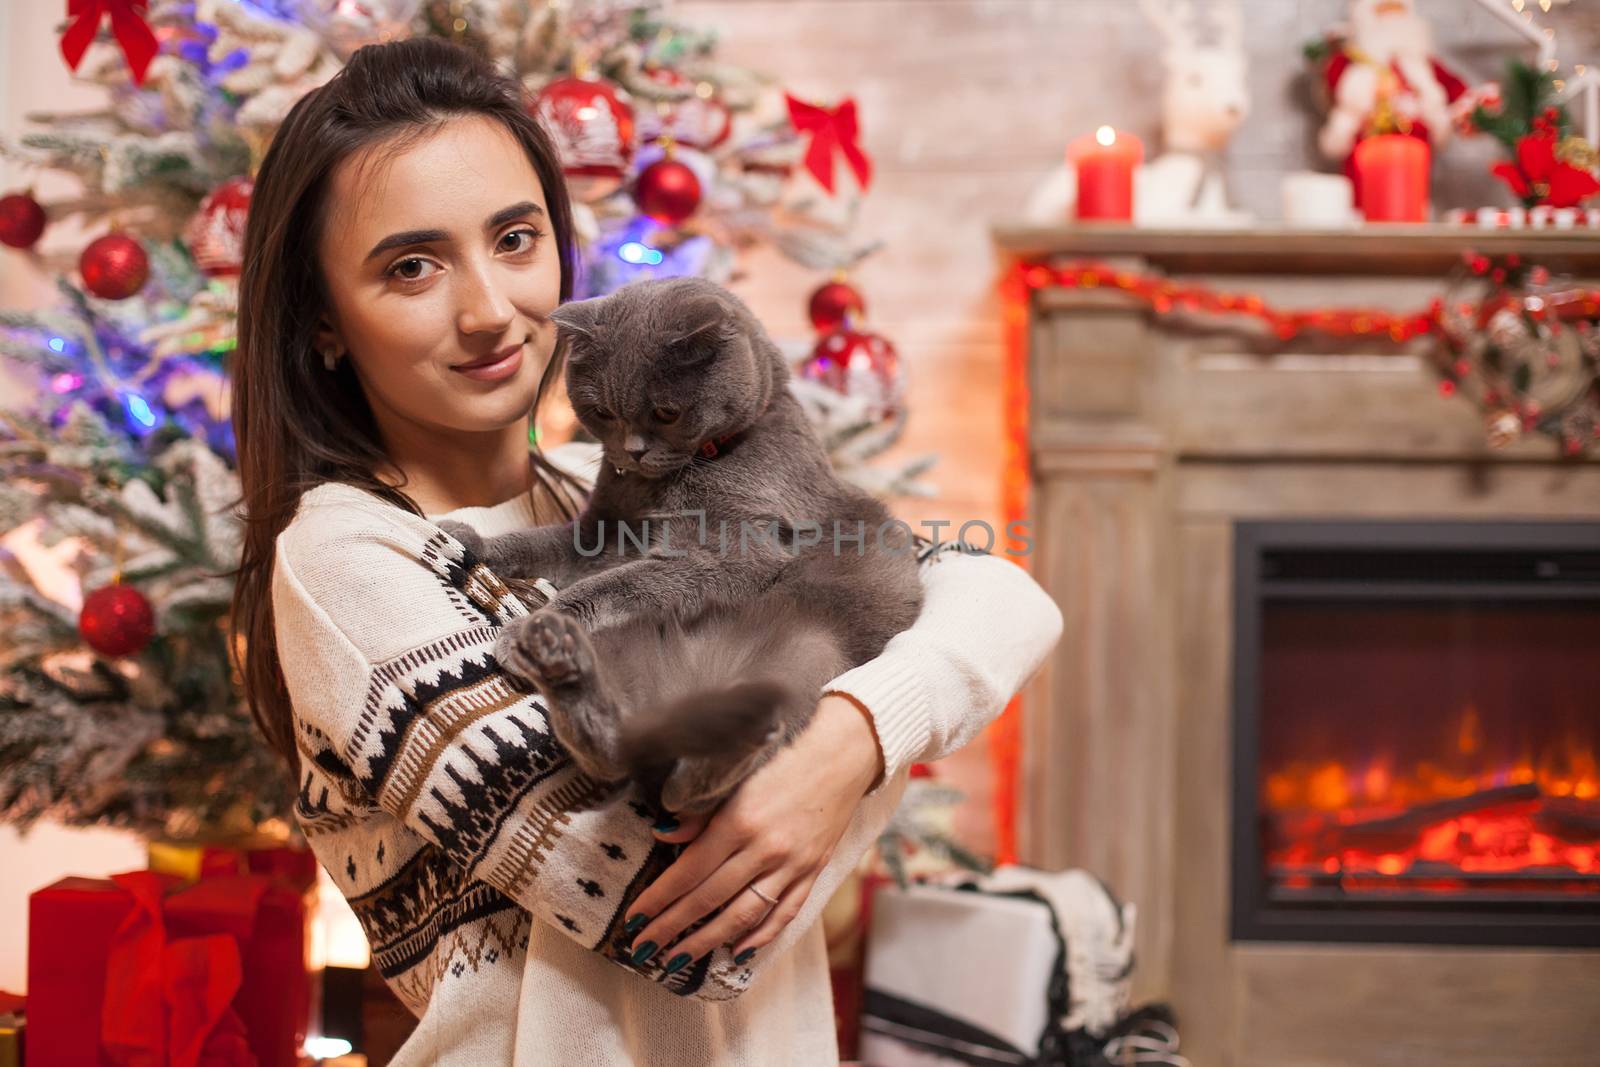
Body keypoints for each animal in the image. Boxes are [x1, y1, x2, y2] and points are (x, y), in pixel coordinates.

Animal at [448, 279, 928, 812]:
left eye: (666, 412)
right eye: (603, 412)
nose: (632, 451)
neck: (656, 487)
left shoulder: (733, 551)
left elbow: (621, 583)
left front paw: (531, 622)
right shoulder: (597, 535)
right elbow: (536, 544)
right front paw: (467, 538)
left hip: (807, 656)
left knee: (701, 779)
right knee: (620, 750)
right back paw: (560, 661)